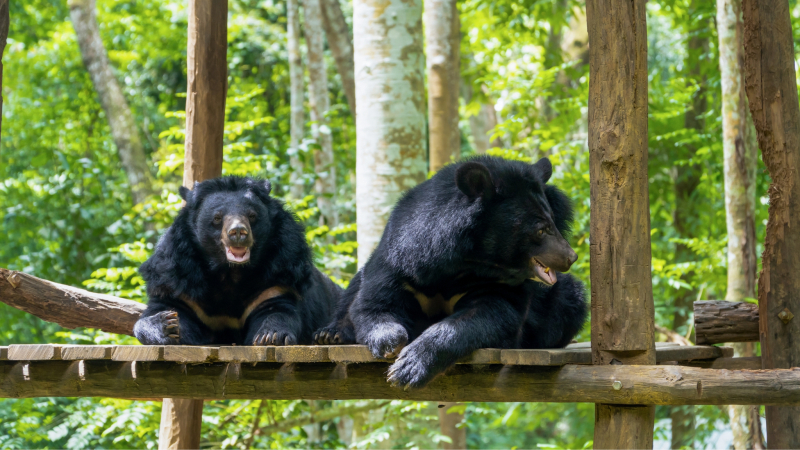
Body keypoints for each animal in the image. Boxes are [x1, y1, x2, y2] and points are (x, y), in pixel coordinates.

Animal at [133, 176, 341, 346]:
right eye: (217, 218)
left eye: (252, 215)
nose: (238, 232)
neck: (230, 271)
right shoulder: (178, 276)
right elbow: (165, 309)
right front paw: (167, 325)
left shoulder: (281, 271)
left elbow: (277, 309)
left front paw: (270, 335)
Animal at [314, 156, 587, 388]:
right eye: (540, 230)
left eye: (553, 222)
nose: (570, 257)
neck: (467, 262)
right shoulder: (400, 258)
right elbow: (374, 303)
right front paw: (390, 342)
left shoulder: (493, 283)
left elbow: (491, 313)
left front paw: (409, 368)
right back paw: (330, 334)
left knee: (569, 300)